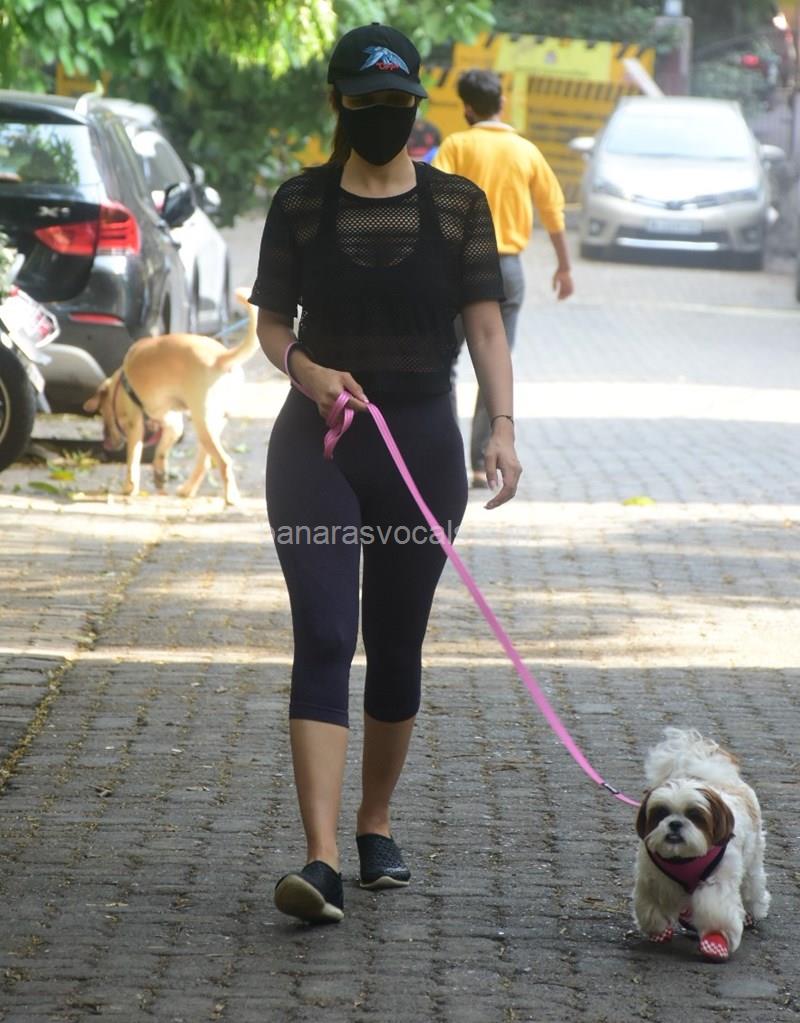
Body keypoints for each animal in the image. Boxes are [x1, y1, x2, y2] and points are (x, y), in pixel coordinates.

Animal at [83, 288, 258, 505]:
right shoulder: (173, 424)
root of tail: (221, 359)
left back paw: (230, 497)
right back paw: (187, 490)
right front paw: (159, 473)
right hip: (211, 426)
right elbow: (161, 451)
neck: (120, 384)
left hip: (203, 423)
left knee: (224, 461)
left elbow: (133, 458)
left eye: (102, 414)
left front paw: (129, 487)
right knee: (205, 462)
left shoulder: (135, 425)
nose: (107, 444)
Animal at [633, 727, 770, 962]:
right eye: (662, 813)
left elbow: (716, 908)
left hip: (752, 859)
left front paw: (716, 940)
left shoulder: (717, 880)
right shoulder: (656, 878)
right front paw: (658, 930)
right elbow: (654, 903)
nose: (675, 824)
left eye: (695, 815)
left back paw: (753, 911)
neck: (683, 857)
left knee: (753, 884)